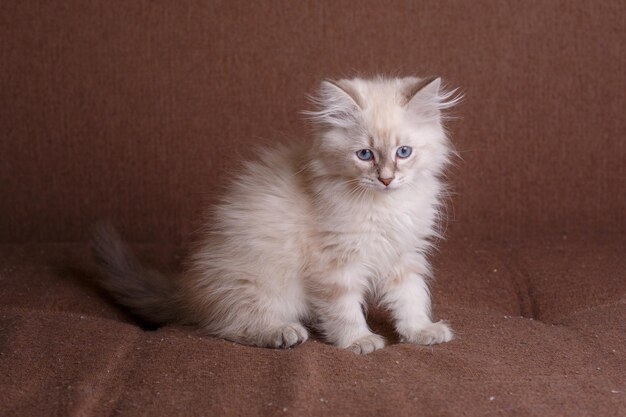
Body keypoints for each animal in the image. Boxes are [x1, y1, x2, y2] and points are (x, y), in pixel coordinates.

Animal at [94, 75, 464, 354]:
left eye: (404, 152)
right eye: (364, 155)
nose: (386, 179)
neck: (386, 207)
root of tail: (187, 290)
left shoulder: (404, 254)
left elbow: (411, 297)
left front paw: (421, 331)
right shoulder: (335, 263)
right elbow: (344, 309)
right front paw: (358, 340)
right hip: (258, 282)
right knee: (228, 326)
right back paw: (282, 333)